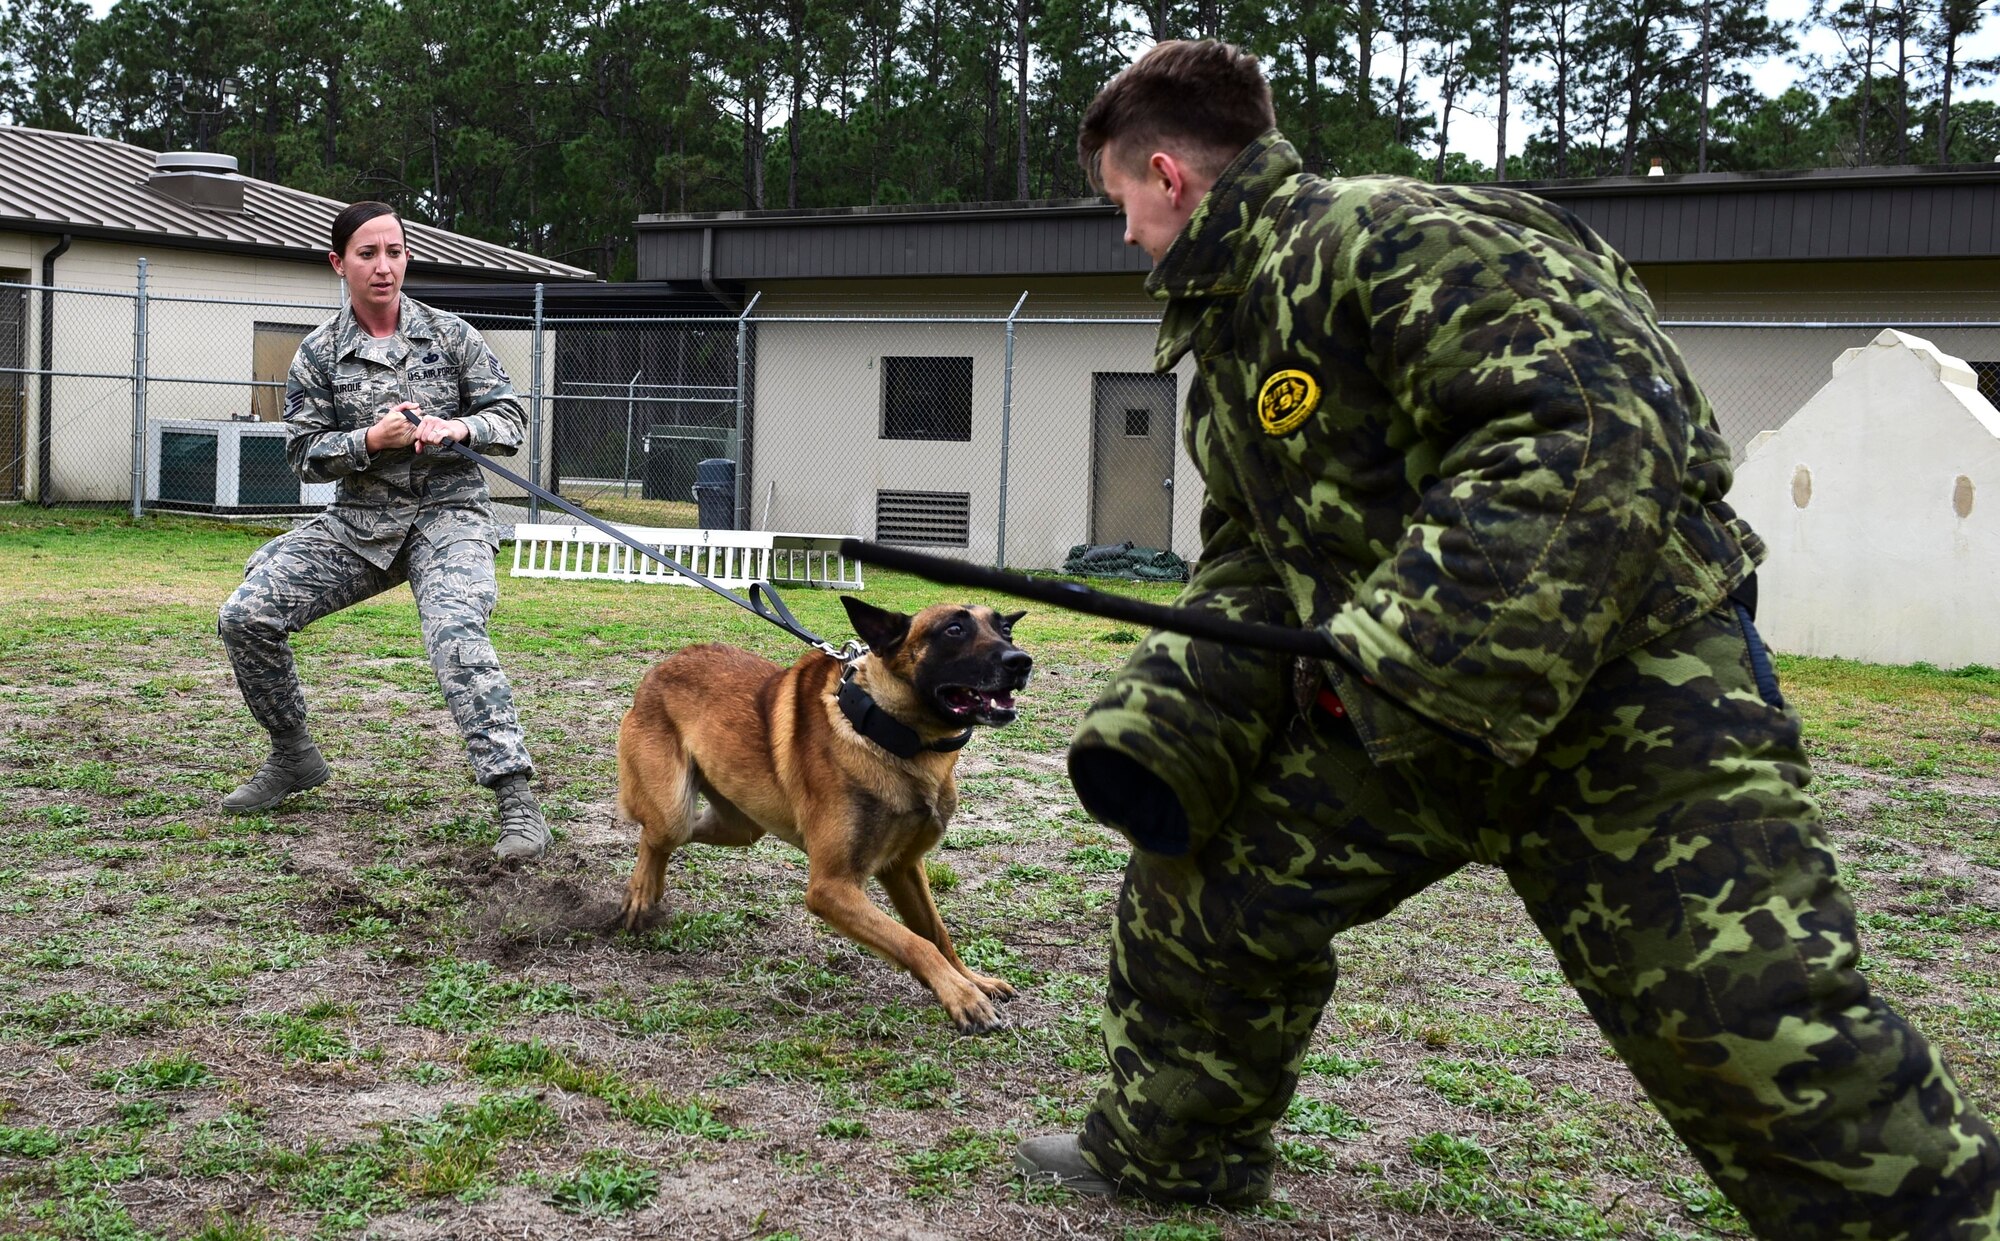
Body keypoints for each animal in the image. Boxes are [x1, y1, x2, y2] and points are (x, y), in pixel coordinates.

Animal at [616, 596, 1032, 1032]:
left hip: (741, 828)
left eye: (1006, 630)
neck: (889, 733)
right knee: (654, 834)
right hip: (675, 811)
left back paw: (652, 890)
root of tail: (663, 666)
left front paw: (971, 980)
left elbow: (936, 934)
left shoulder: (902, 870)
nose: (1022, 662)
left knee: (674, 836)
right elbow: (915, 943)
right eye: (954, 630)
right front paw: (961, 996)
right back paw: (640, 892)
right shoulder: (831, 889)